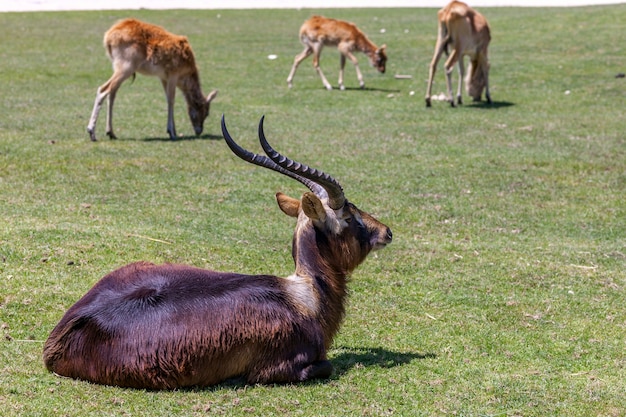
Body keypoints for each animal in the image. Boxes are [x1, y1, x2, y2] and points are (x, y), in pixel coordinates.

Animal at [44, 114, 392, 390]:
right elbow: (327, 365)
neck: (303, 296)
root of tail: (58, 341)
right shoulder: (281, 368)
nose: (386, 231)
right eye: (348, 216)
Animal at [86, 17, 217, 141]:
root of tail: (107, 37)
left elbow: (167, 98)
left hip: (117, 67)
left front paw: (174, 131)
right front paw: (172, 132)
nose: (199, 131)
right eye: (205, 111)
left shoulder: (163, 77)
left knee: (112, 92)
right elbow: (171, 100)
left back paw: (111, 133)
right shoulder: (174, 74)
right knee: (103, 89)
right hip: (126, 66)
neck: (186, 76)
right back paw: (91, 132)